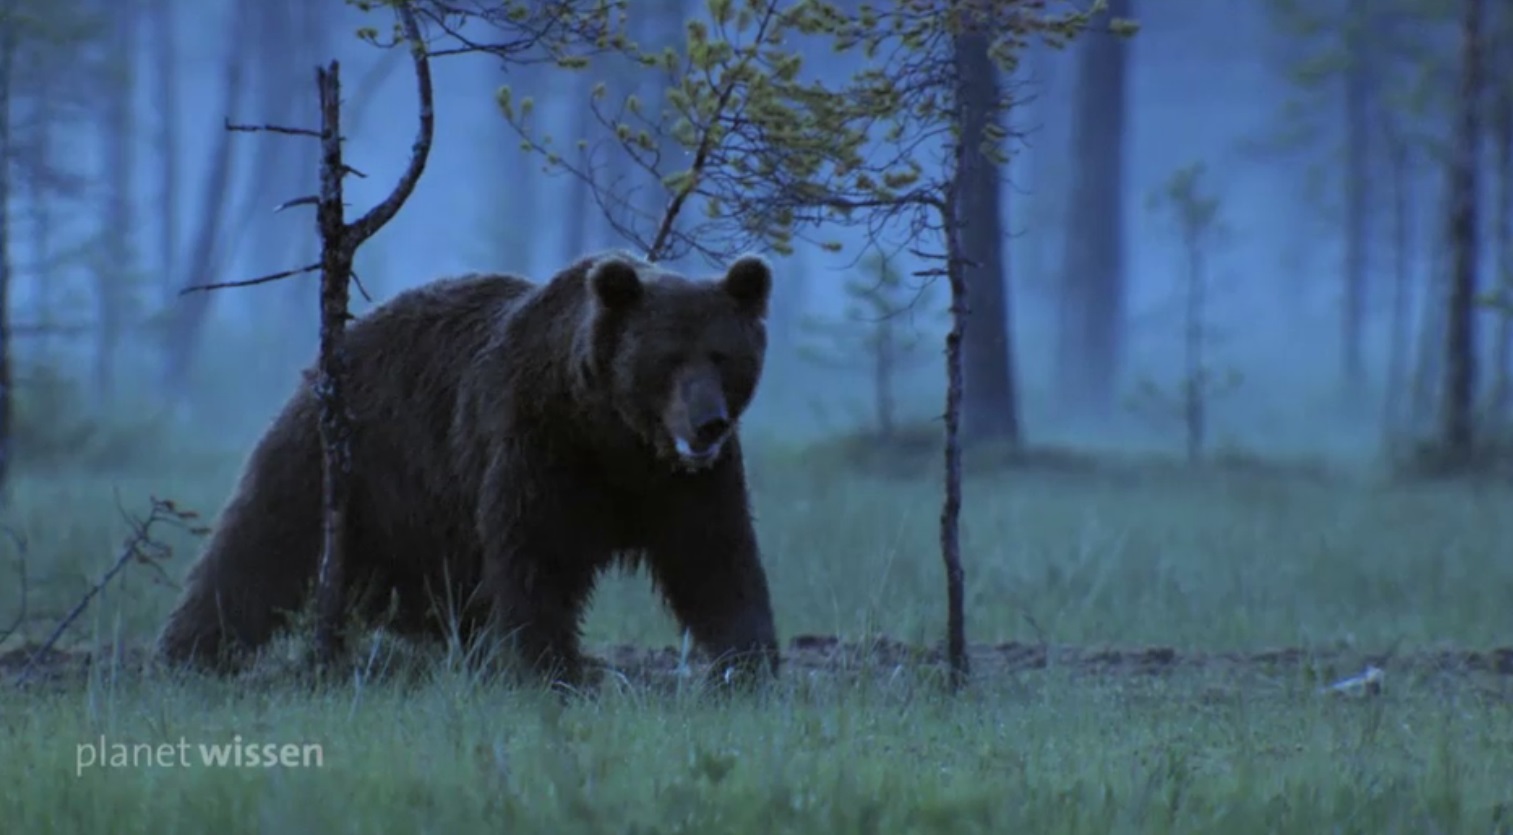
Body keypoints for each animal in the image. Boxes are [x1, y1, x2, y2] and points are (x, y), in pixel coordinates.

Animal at [156, 251, 780, 686]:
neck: (614, 435)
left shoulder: (684, 483)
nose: (707, 423)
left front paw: (750, 664)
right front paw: (552, 668)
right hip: (349, 456)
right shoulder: (538, 442)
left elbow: (715, 560)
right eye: (668, 358)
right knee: (258, 545)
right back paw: (190, 652)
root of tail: (339, 344)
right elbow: (536, 555)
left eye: (722, 356)